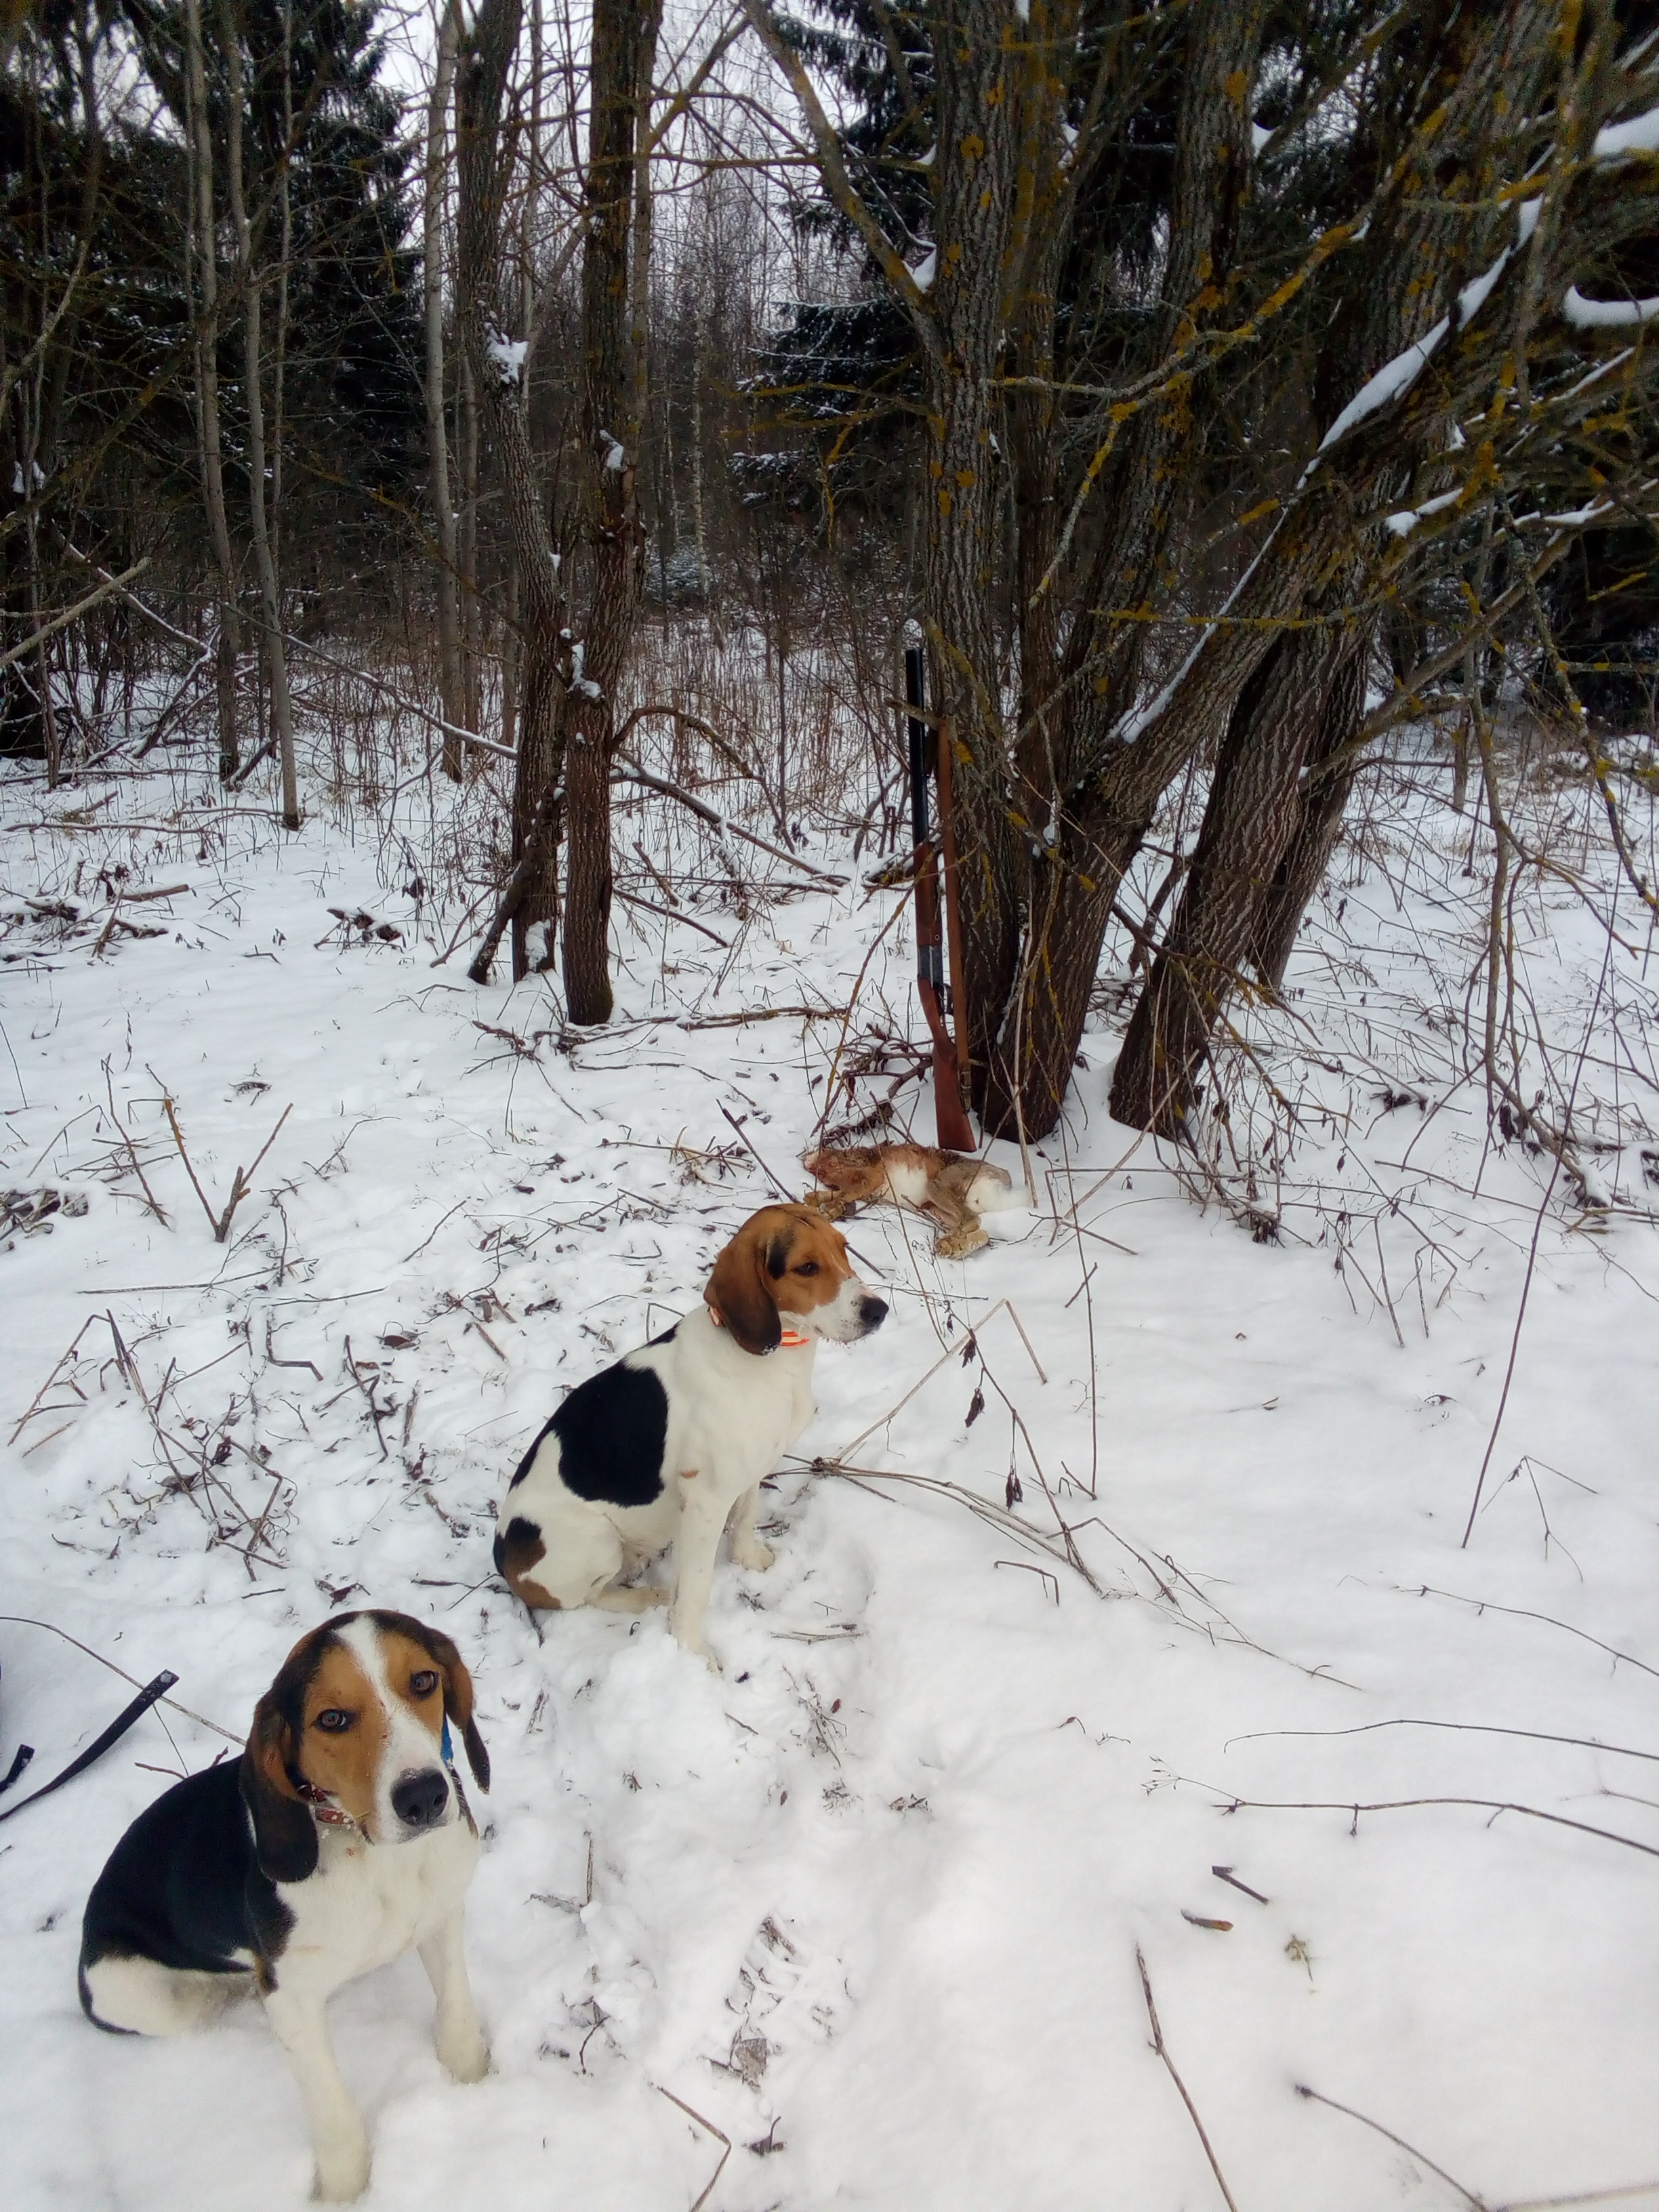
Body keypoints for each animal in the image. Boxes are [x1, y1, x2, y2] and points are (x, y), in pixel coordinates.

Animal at [79, 1611, 491, 2203]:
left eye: (423, 1681)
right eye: (332, 1718)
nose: (424, 1797)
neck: (370, 1851)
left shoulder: (441, 1913)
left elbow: (455, 2011)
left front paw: (473, 2084)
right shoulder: (292, 2002)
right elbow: (331, 2109)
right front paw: (345, 2191)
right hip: (134, 1992)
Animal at [494, 1203, 887, 1660]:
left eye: (843, 1248)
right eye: (806, 1267)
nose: (879, 1311)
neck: (770, 1360)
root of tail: (501, 1555)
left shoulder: (748, 1471)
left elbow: (745, 1519)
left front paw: (748, 1560)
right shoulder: (706, 1501)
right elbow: (696, 1590)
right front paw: (692, 1653)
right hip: (596, 1540)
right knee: (584, 1599)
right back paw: (648, 1596)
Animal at [804, 1141, 1025, 1257]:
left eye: (831, 1163)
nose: (813, 1168)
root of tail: (1002, 1184)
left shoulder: (871, 1177)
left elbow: (846, 1192)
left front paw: (829, 1209)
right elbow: (839, 1193)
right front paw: (814, 1199)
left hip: (937, 1187)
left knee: (973, 1219)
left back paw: (949, 1242)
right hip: (937, 1208)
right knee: (982, 1231)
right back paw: (954, 1246)